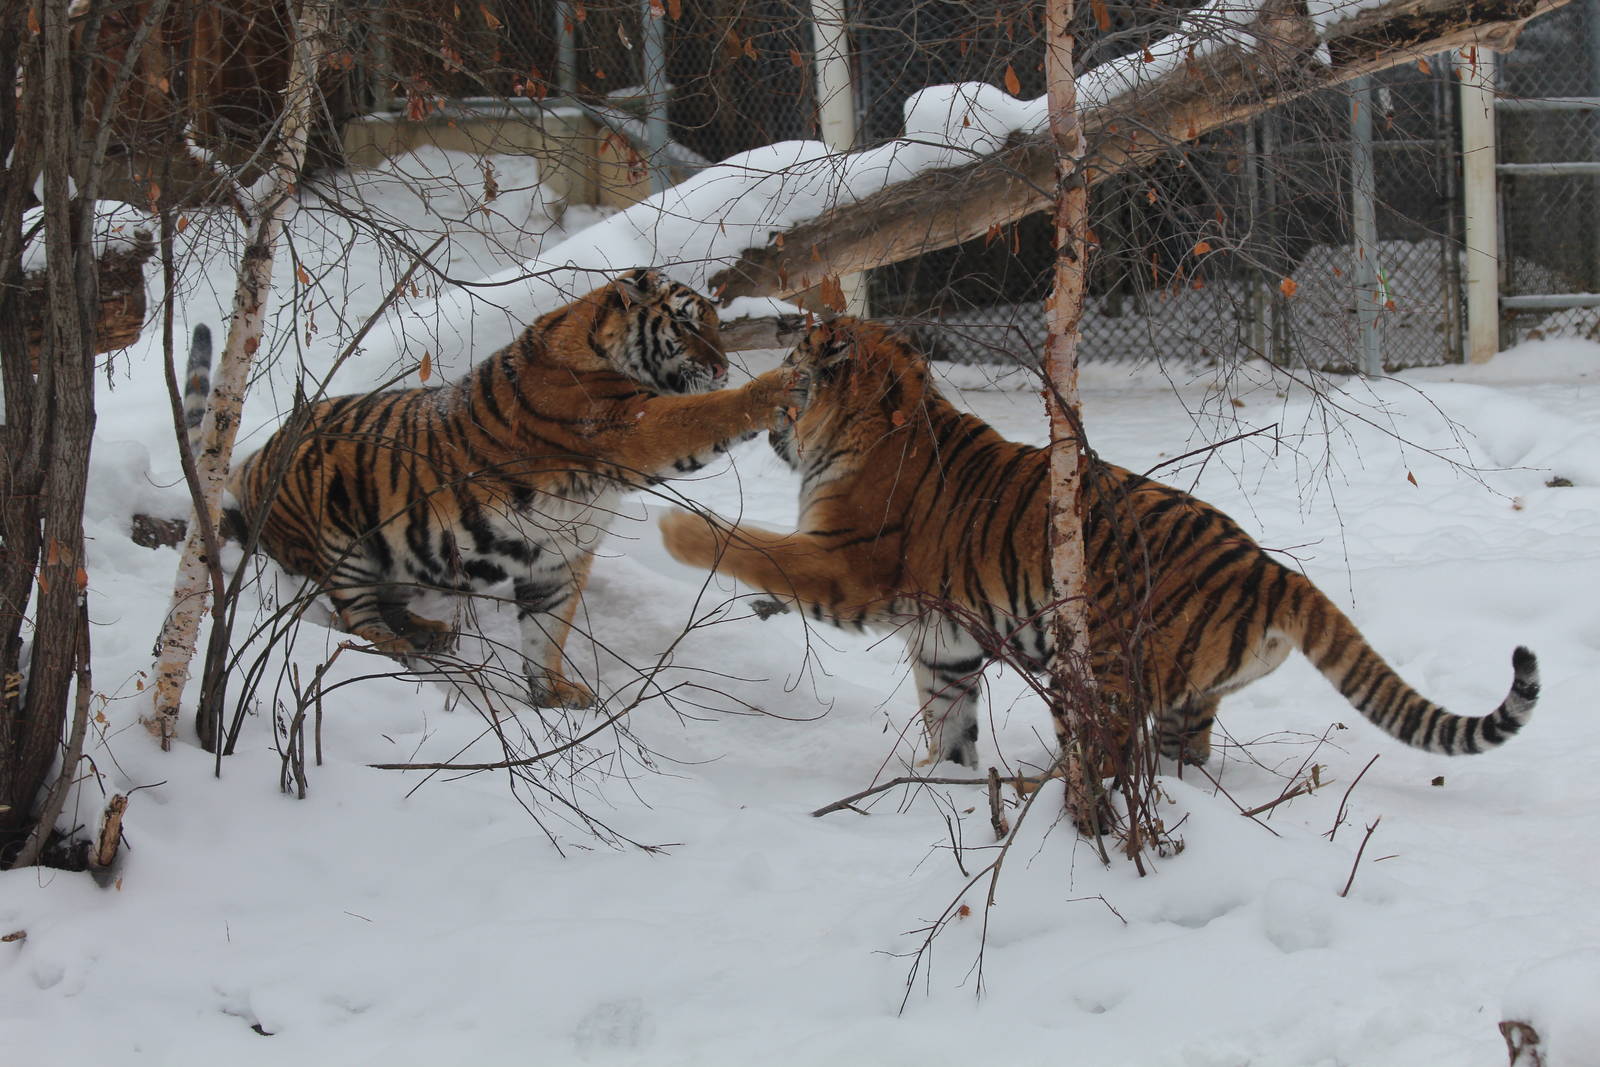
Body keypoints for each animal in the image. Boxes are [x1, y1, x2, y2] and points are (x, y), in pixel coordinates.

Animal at [196, 268, 788, 709]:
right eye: (686, 327)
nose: (723, 367)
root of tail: (254, 460)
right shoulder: (629, 427)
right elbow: (704, 415)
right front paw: (777, 386)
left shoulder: (558, 557)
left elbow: (546, 634)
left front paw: (552, 694)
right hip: (341, 536)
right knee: (353, 615)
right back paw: (397, 646)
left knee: (383, 600)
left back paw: (426, 630)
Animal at [658, 317, 1539, 770]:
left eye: (793, 366)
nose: (772, 416)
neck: (882, 419)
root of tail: (1267, 567)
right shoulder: (945, 644)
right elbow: (948, 721)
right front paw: (945, 785)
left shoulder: (847, 565)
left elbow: (752, 544)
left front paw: (676, 528)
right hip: (1190, 701)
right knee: (1182, 763)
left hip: (1108, 676)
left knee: (1112, 763)